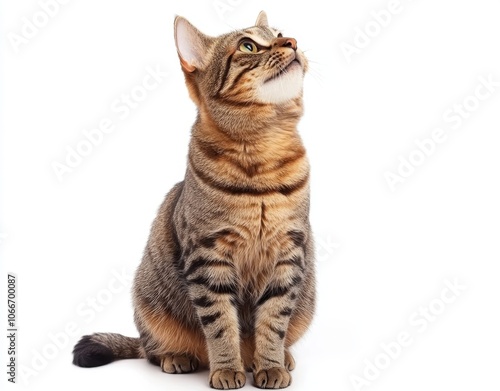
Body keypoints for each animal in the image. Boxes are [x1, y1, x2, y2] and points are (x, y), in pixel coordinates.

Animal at [72, 10, 314, 390]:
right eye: (248, 45)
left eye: (280, 34)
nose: (292, 43)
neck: (263, 150)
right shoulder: (208, 257)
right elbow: (221, 325)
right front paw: (227, 368)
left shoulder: (289, 254)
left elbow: (274, 321)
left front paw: (271, 364)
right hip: (150, 304)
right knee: (151, 350)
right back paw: (178, 356)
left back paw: (278, 358)